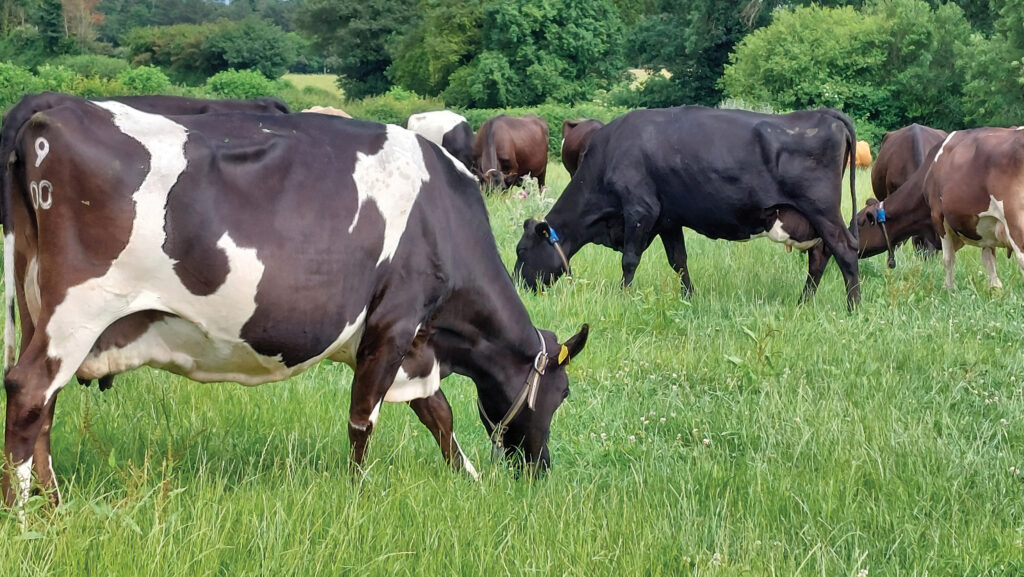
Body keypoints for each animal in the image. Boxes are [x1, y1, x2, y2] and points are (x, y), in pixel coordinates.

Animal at [514, 106, 861, 309]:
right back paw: (803, 303)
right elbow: (678, 261)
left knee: (844, 251)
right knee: (820, 257)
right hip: (811, 219)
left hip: (822, 209)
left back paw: (853, 307)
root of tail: (824, 113)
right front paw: (689, 298)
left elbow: (629, 260)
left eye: (521, 251)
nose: (517, 285)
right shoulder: (668, 219)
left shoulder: (640, 210)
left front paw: (624, 297)